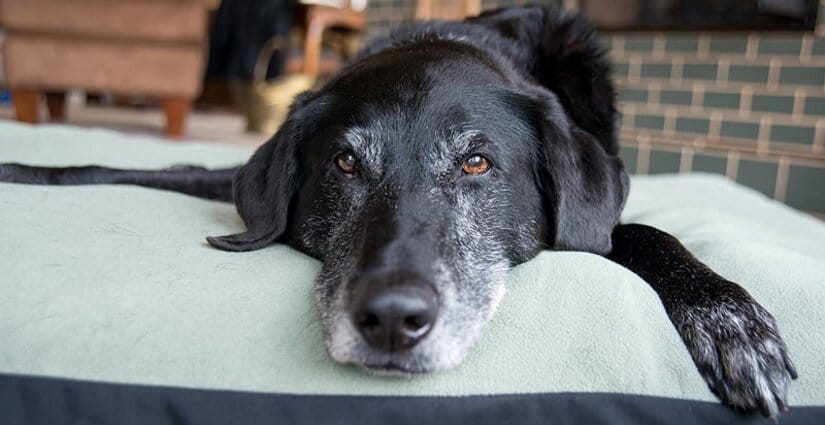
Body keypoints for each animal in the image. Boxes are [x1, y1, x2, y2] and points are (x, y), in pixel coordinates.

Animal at [3, 7, 796, 418]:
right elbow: (119, 167)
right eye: (344, 164)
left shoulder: (605, 219)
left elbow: (639, 232)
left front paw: (728, 318)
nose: (390, 320)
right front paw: (25, 167)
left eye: (476, 164)